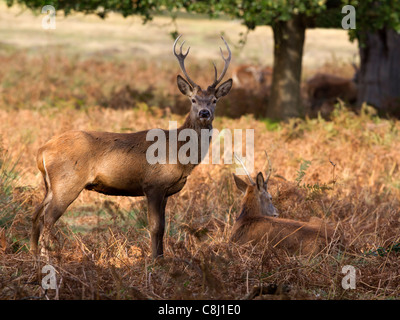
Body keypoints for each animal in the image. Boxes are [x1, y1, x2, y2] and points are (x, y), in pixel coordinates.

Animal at [32, 35, 234, 260]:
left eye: (214, 100)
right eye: (193, 100)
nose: (204, 113)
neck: (180, 155)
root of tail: (42, 151)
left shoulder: (166, 191)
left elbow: (163, 227)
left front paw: (161, 258)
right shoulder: (153, 184)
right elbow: (155, 227)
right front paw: (154, 260)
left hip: (51, 184)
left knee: (35, 214)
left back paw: (32, 254)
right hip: (67, 182)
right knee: (47, 218)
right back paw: (46, 258)